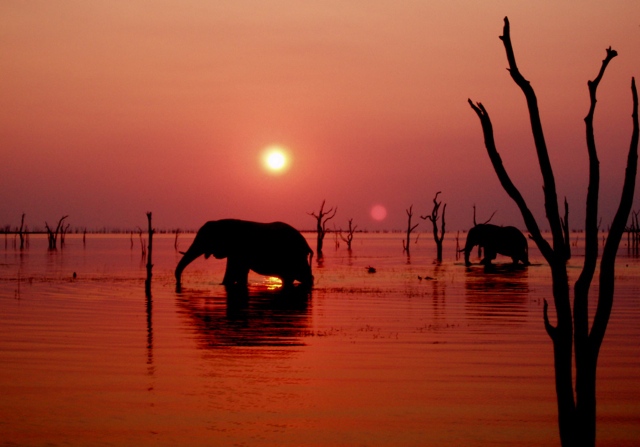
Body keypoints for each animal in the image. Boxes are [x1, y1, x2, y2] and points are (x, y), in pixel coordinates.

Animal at [175, 220, 316, 290]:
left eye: (205, 239)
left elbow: (235, 271)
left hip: (294, 256)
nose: (179, 282)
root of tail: (307, 245)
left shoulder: (238, 249)